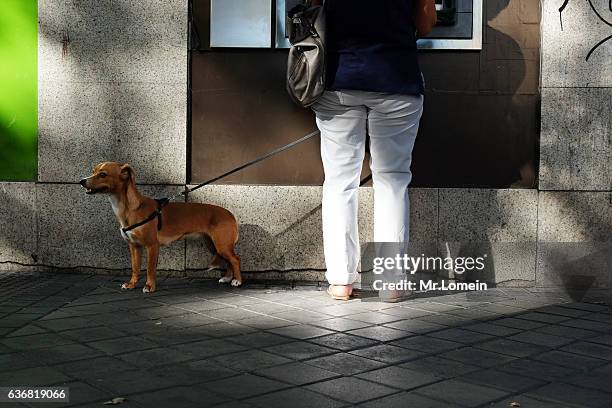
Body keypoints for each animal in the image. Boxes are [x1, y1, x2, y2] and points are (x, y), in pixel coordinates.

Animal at [80, 161, 241, 292]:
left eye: (103, 174)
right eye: (93, 171)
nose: (81, 181)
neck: (130, 208)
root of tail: (230, 214)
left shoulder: (152, 246)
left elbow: (150, 269)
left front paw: (149, 286)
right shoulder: (134, 246)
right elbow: (135, 267)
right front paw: (132, 284)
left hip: (221, 244)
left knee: (235, 259)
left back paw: (237, 280)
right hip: (213, 245)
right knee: (228, 260)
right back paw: (227, 277)